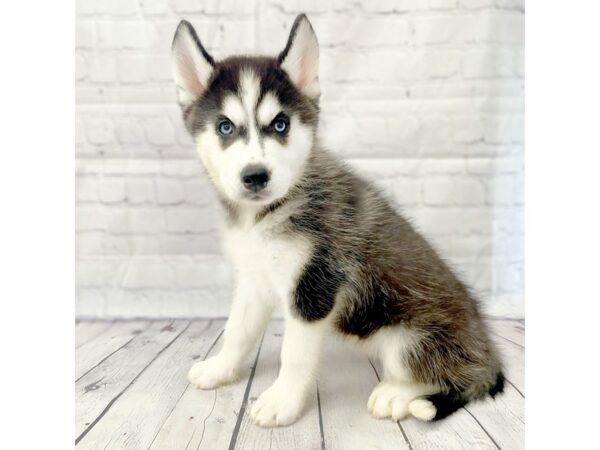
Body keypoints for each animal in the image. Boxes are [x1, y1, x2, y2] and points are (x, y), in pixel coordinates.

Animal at [171, 14, 504, 428]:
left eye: (280, 125)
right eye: (225, 127)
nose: (255, 176)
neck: (267, 213)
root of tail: (489, 355)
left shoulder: (315, 287)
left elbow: (294, 356)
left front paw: (281, 401)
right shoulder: (255, 280)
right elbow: (237, 330)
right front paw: (220, 369)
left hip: (407, 341)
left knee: (440, 377)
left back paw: (396, 395)